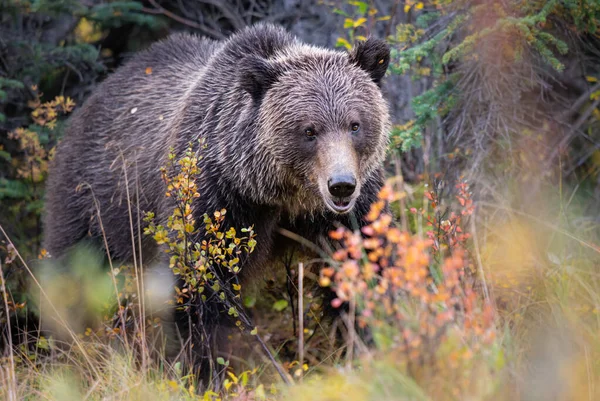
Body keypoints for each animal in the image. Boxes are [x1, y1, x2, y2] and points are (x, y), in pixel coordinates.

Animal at [42, 24, 390, 368]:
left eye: (355, 125)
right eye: (309, 130)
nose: (341, 185)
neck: (282, 196)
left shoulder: (350, 213)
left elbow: (367, 266)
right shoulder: (216, 199)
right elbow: (199, 288)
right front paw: (207, 365)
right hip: (95, 204)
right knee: (73, 276)